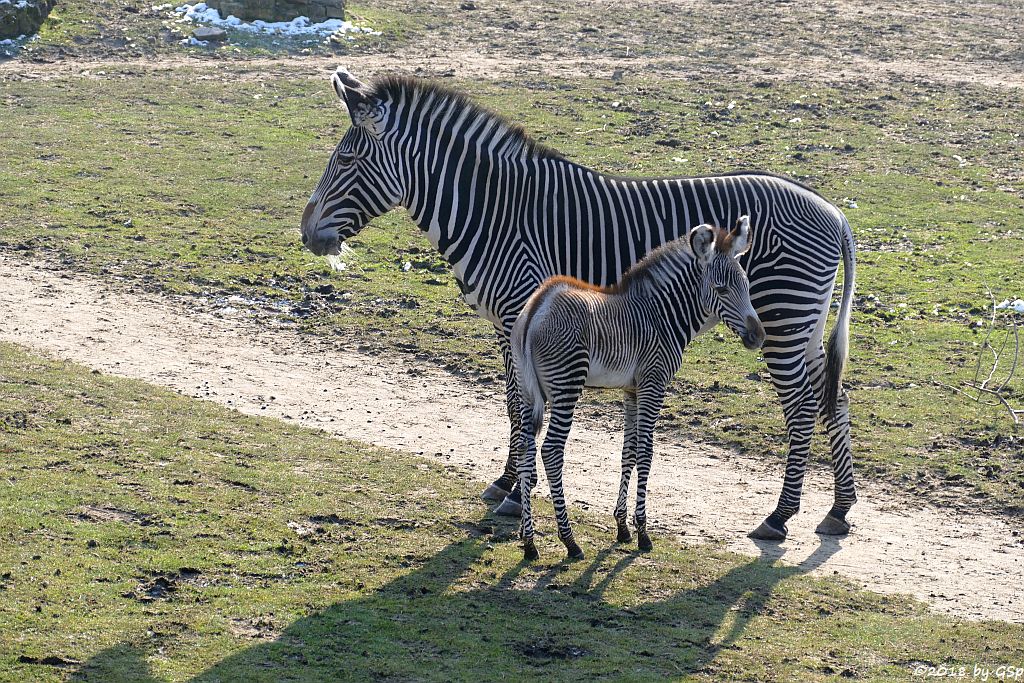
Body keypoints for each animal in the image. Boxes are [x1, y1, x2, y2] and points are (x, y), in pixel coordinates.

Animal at [512, 218, 761, 561]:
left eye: (747, 286)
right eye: (722, 289)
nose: (759, 336)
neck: (663, 315)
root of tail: (537, 306)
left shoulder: (631, 390)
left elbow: (627, 451)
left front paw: (622, 528)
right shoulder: (654, 384)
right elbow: (645, 452)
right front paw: (643, 532)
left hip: (526, 389)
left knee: (525, 449)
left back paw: (529, 543)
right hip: (566, 386)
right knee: (550, 451)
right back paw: (570, 541)